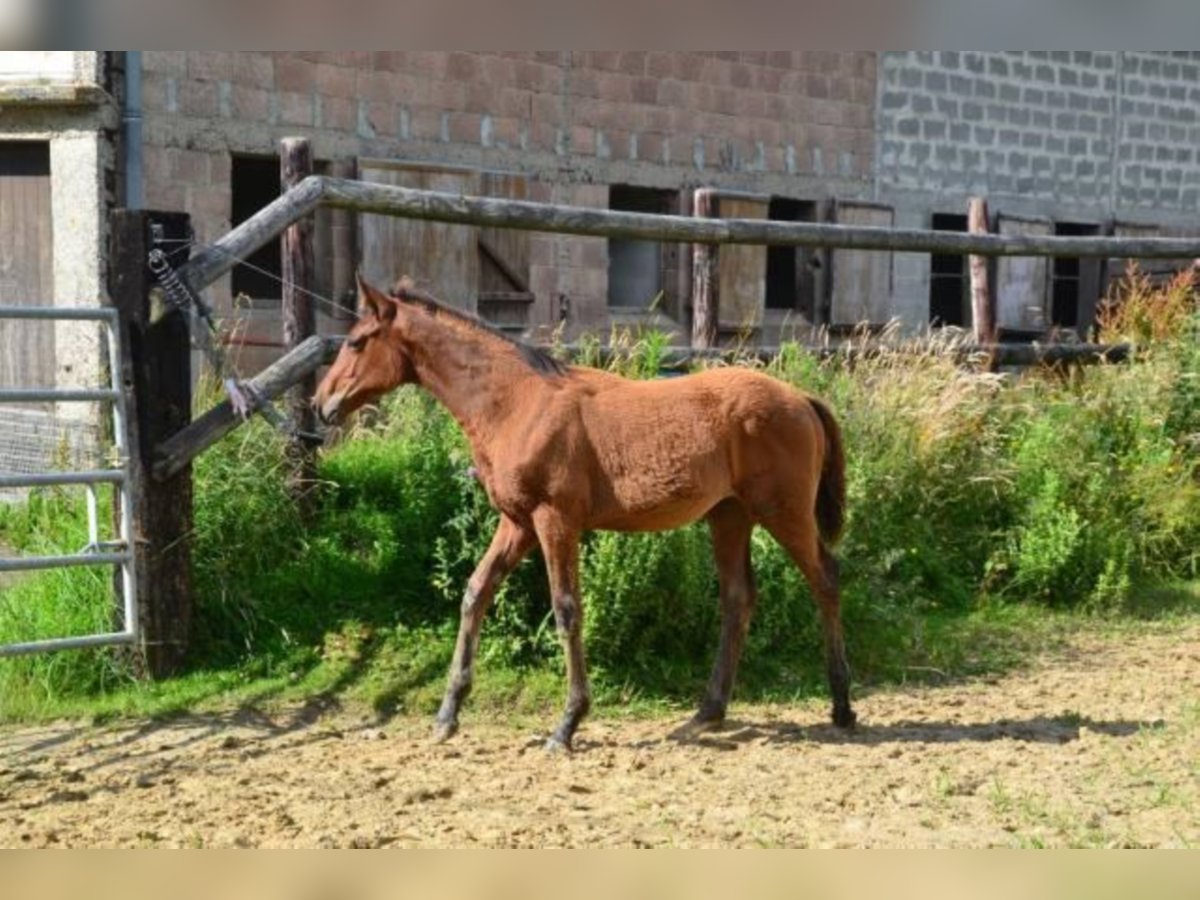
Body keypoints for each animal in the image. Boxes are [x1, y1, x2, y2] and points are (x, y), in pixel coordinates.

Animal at [312, 277, 854, 753]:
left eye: (357, 342)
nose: (320, 404)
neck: (517, 403)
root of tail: (801, 399)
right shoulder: (517, 523)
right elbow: (475, 592)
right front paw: (447, 716)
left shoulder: (555, 521)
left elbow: (566, 608)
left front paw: (567, 725)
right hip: (729, 516)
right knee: (739, 598)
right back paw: (707, 712)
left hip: (783, 511)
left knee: (826, 579)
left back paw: (842, 707)